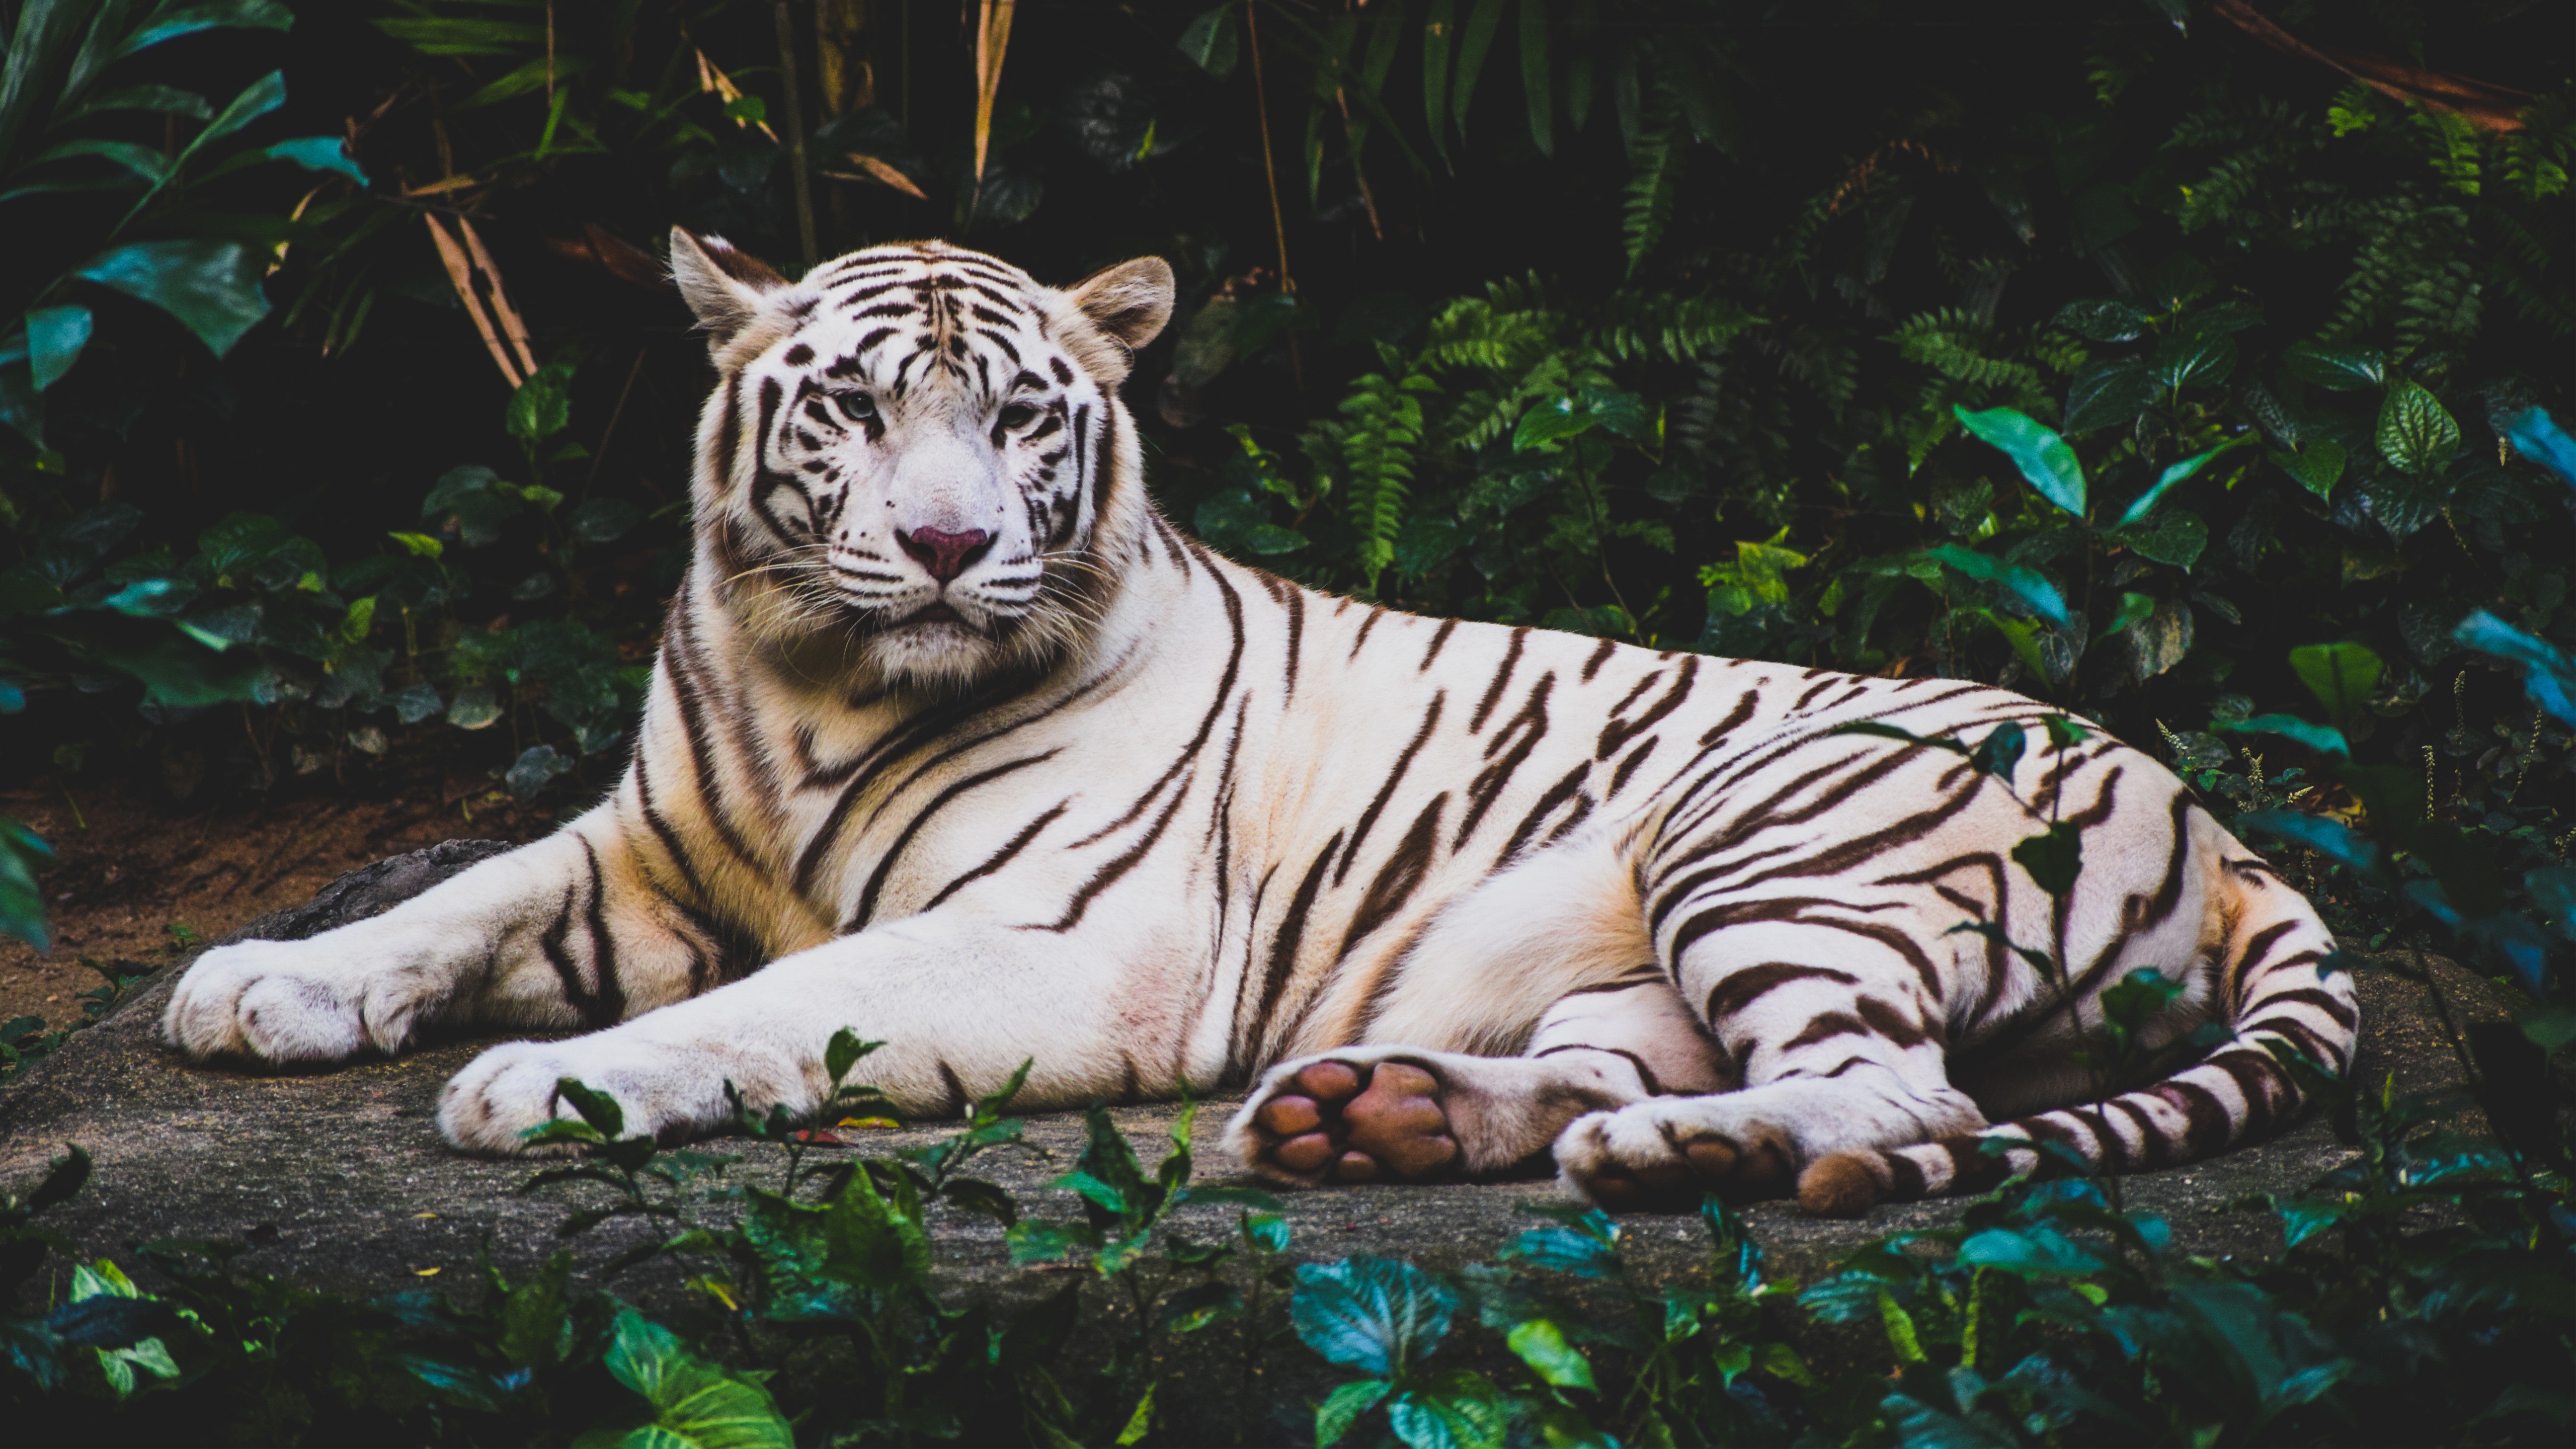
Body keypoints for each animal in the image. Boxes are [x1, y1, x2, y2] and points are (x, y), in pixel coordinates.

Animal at [162, 231, 2358, 1218]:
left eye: (1020, 417)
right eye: (855, 408)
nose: (947, 546)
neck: (816, 681)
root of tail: (2226, 829)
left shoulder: (1060, 945)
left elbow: (767, 1010)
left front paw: (546, 1087)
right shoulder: (642, 846)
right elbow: (454, 898)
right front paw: (259, 986)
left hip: (1769, 834)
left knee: (1906, 1098)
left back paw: (1680, 1154)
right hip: (1631, 950)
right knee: (1634, 1064)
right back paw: (1377, 1114)